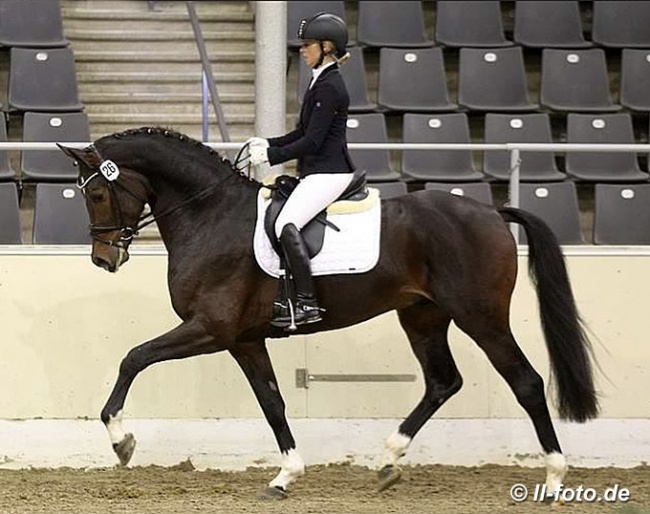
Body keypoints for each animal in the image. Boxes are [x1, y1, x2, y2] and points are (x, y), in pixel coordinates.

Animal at [58, 128, 596, 500]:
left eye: (97, 194)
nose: (104, 259)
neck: (210, 215)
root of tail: (492, 212)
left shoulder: (211, 329)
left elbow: (134, 357)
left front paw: (121, 441)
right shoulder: (244, 340)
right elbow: (272, 402)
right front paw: (285, 476)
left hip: (480, 317)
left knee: (526, 382)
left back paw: (553, 479)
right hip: (422, 316)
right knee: (443, 381)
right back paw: (388, 460)